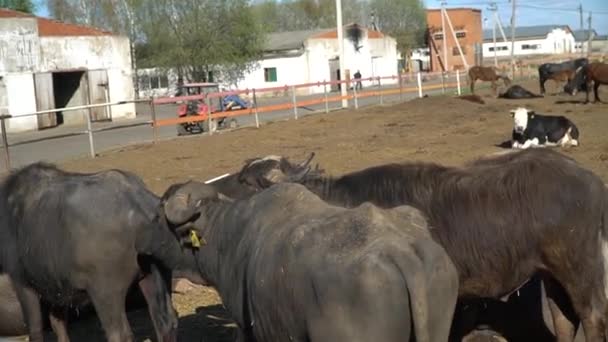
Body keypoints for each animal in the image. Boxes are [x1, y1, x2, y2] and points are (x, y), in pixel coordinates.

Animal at [0, 162, 194, 342]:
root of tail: (140, 203)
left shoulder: (23, 283)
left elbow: (35, 330)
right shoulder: (57, 288)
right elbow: (58, 324)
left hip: (105, 292)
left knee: (119, 334)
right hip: (155, 274)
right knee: (166, 322)